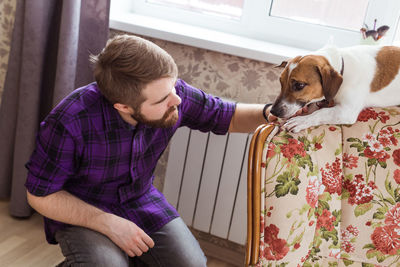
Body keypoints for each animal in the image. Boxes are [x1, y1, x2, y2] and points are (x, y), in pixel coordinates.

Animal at [270, 45, 400, 133]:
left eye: (299, 85)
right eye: (281, 82)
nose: (273, 111)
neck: (343, 69)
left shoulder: (347, 112)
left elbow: (321, 112)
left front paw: (301, 121)